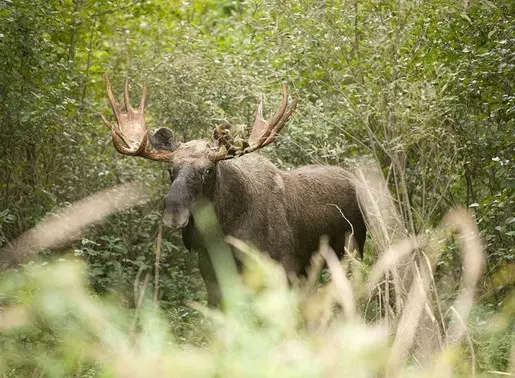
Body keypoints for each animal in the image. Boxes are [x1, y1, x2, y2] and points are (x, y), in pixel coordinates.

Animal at [102, 75, 366, 306]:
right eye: (170, 169)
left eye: (208, 169)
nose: (174, 214)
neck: (225, 230)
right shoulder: (212, 275)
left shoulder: (282, 269)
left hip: (353, 250)